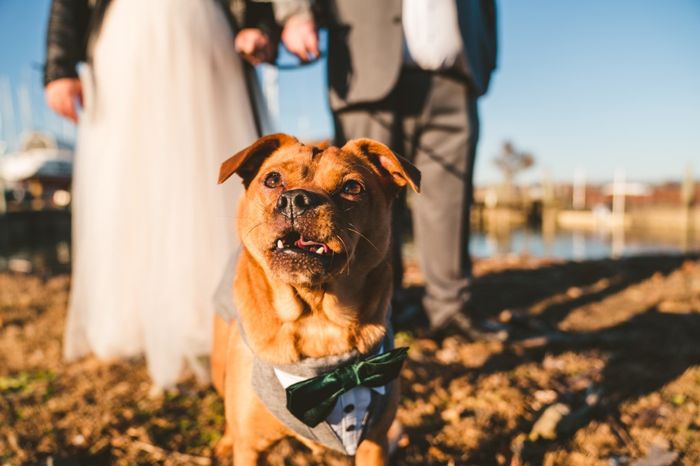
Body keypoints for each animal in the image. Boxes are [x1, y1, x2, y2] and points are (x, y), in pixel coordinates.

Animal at [212, 133, 422, 464]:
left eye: (353, 188)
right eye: (272, 179)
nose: (295, 199)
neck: (317, 321)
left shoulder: (374, 442)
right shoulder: (249, 448)